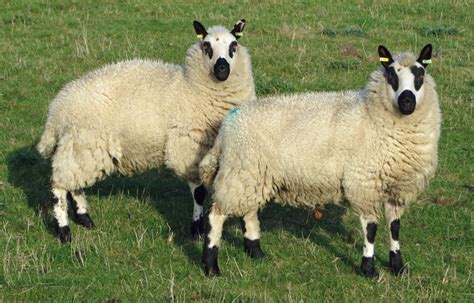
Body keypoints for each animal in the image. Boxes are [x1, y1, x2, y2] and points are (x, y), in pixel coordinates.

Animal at [36, 19, 256, 243]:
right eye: (206, 46)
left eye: (234, 45)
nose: (222, 69)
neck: (192, 87)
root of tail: (57, 109)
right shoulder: (189, 149)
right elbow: (199, 193)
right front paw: (197, 230)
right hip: (84, 142)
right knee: (58, 186)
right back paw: (64, 231)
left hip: (81, 147)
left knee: (73, 183)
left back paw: (84, 219)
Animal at [199, 44, 440, 280]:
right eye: (391, 75)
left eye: (420, 74)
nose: (407, 101)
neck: (374, 115)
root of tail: (226, 126)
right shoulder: (363, 184)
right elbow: (371, 229)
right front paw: (369, 269)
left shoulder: (397, 187)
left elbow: (395, 227)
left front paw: (398, 266)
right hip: (241, 171)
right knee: (215, 215)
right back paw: (211, 267)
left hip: (252, 174)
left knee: (248, 211)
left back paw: (256, 252)